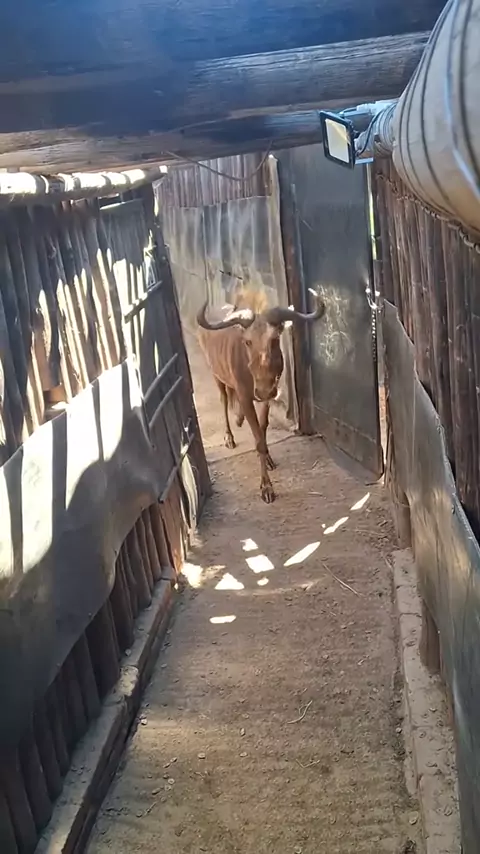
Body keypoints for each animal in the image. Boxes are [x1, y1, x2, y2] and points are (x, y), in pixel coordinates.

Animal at [197, 290, 325, 504]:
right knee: (224, 400)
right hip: (216, 375)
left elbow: (262, 429)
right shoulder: (246, 396)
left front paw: (269, 460)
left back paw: (239, 419)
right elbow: (257, 439)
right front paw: (266, 487)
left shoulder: (268, 395)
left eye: (274, 339)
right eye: (248, 341)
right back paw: (229, 436)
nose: (263, 390)